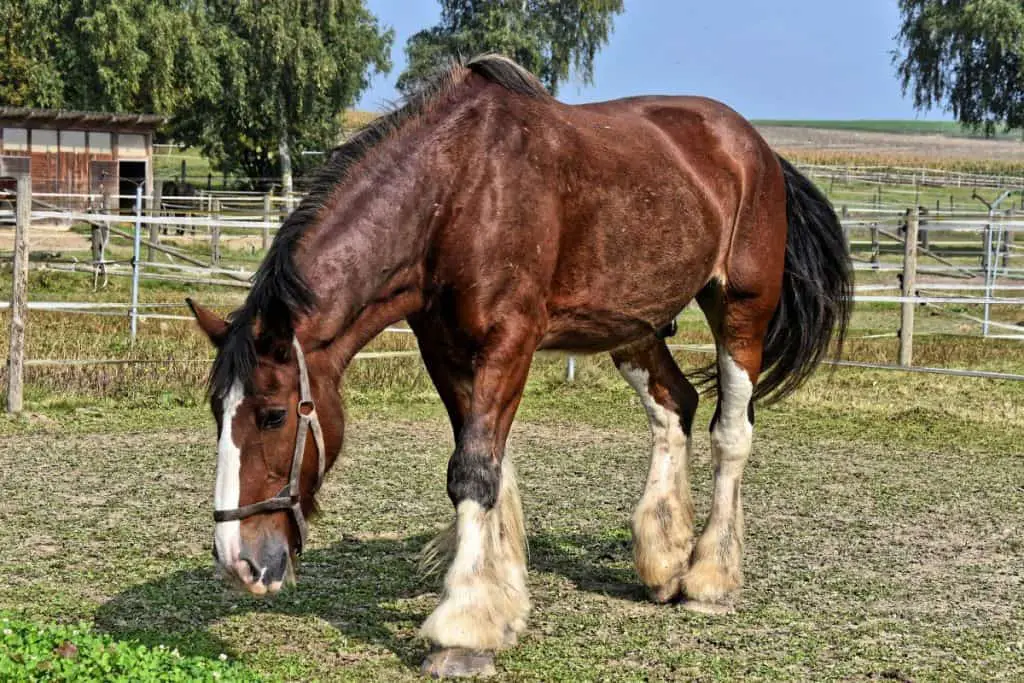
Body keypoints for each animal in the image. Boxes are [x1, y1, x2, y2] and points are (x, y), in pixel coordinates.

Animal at [188, 54, 851, 679]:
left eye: (273, 416)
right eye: (216, 412)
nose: (237, 561)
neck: (455, 193)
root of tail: (758, 149)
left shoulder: (510, 343)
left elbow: (474, 471)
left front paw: (461, 631)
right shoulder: (446, 351)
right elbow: (488, 466)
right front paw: (499, 604)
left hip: (741, 310)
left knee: (730, 433)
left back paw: (710, 577)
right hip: (633, 326)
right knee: (675, 407)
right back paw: (664, 561)